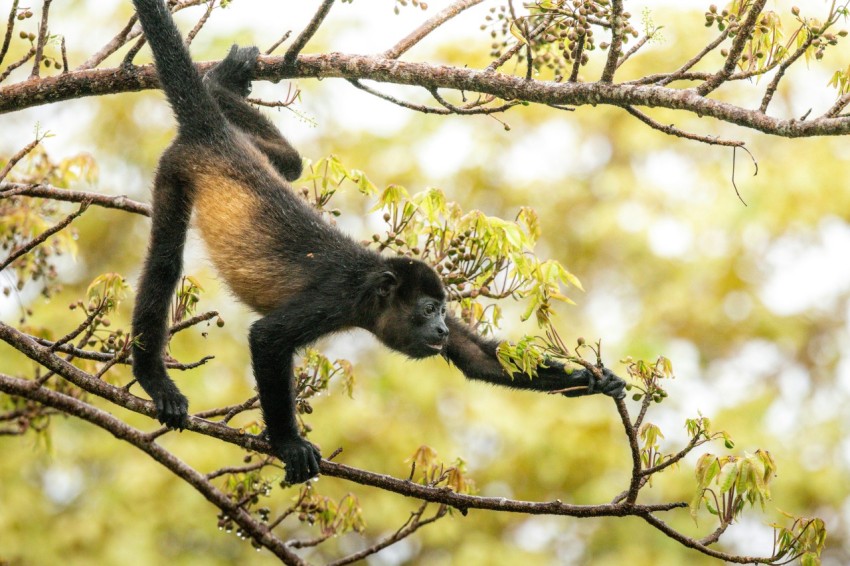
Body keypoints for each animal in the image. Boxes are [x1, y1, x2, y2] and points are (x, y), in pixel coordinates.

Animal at [129, 0, 628, 488]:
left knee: (290, 163)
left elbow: (477, 358)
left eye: (444, 311)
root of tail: (213, 136)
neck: (372, 288)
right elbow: (266, 337)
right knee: (164, 264)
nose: (442, 328)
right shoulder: (335, 298)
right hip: (176, 168)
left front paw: (593, 380)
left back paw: (220, 81)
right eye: (428, 310)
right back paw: (154, 380)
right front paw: (289, 444)